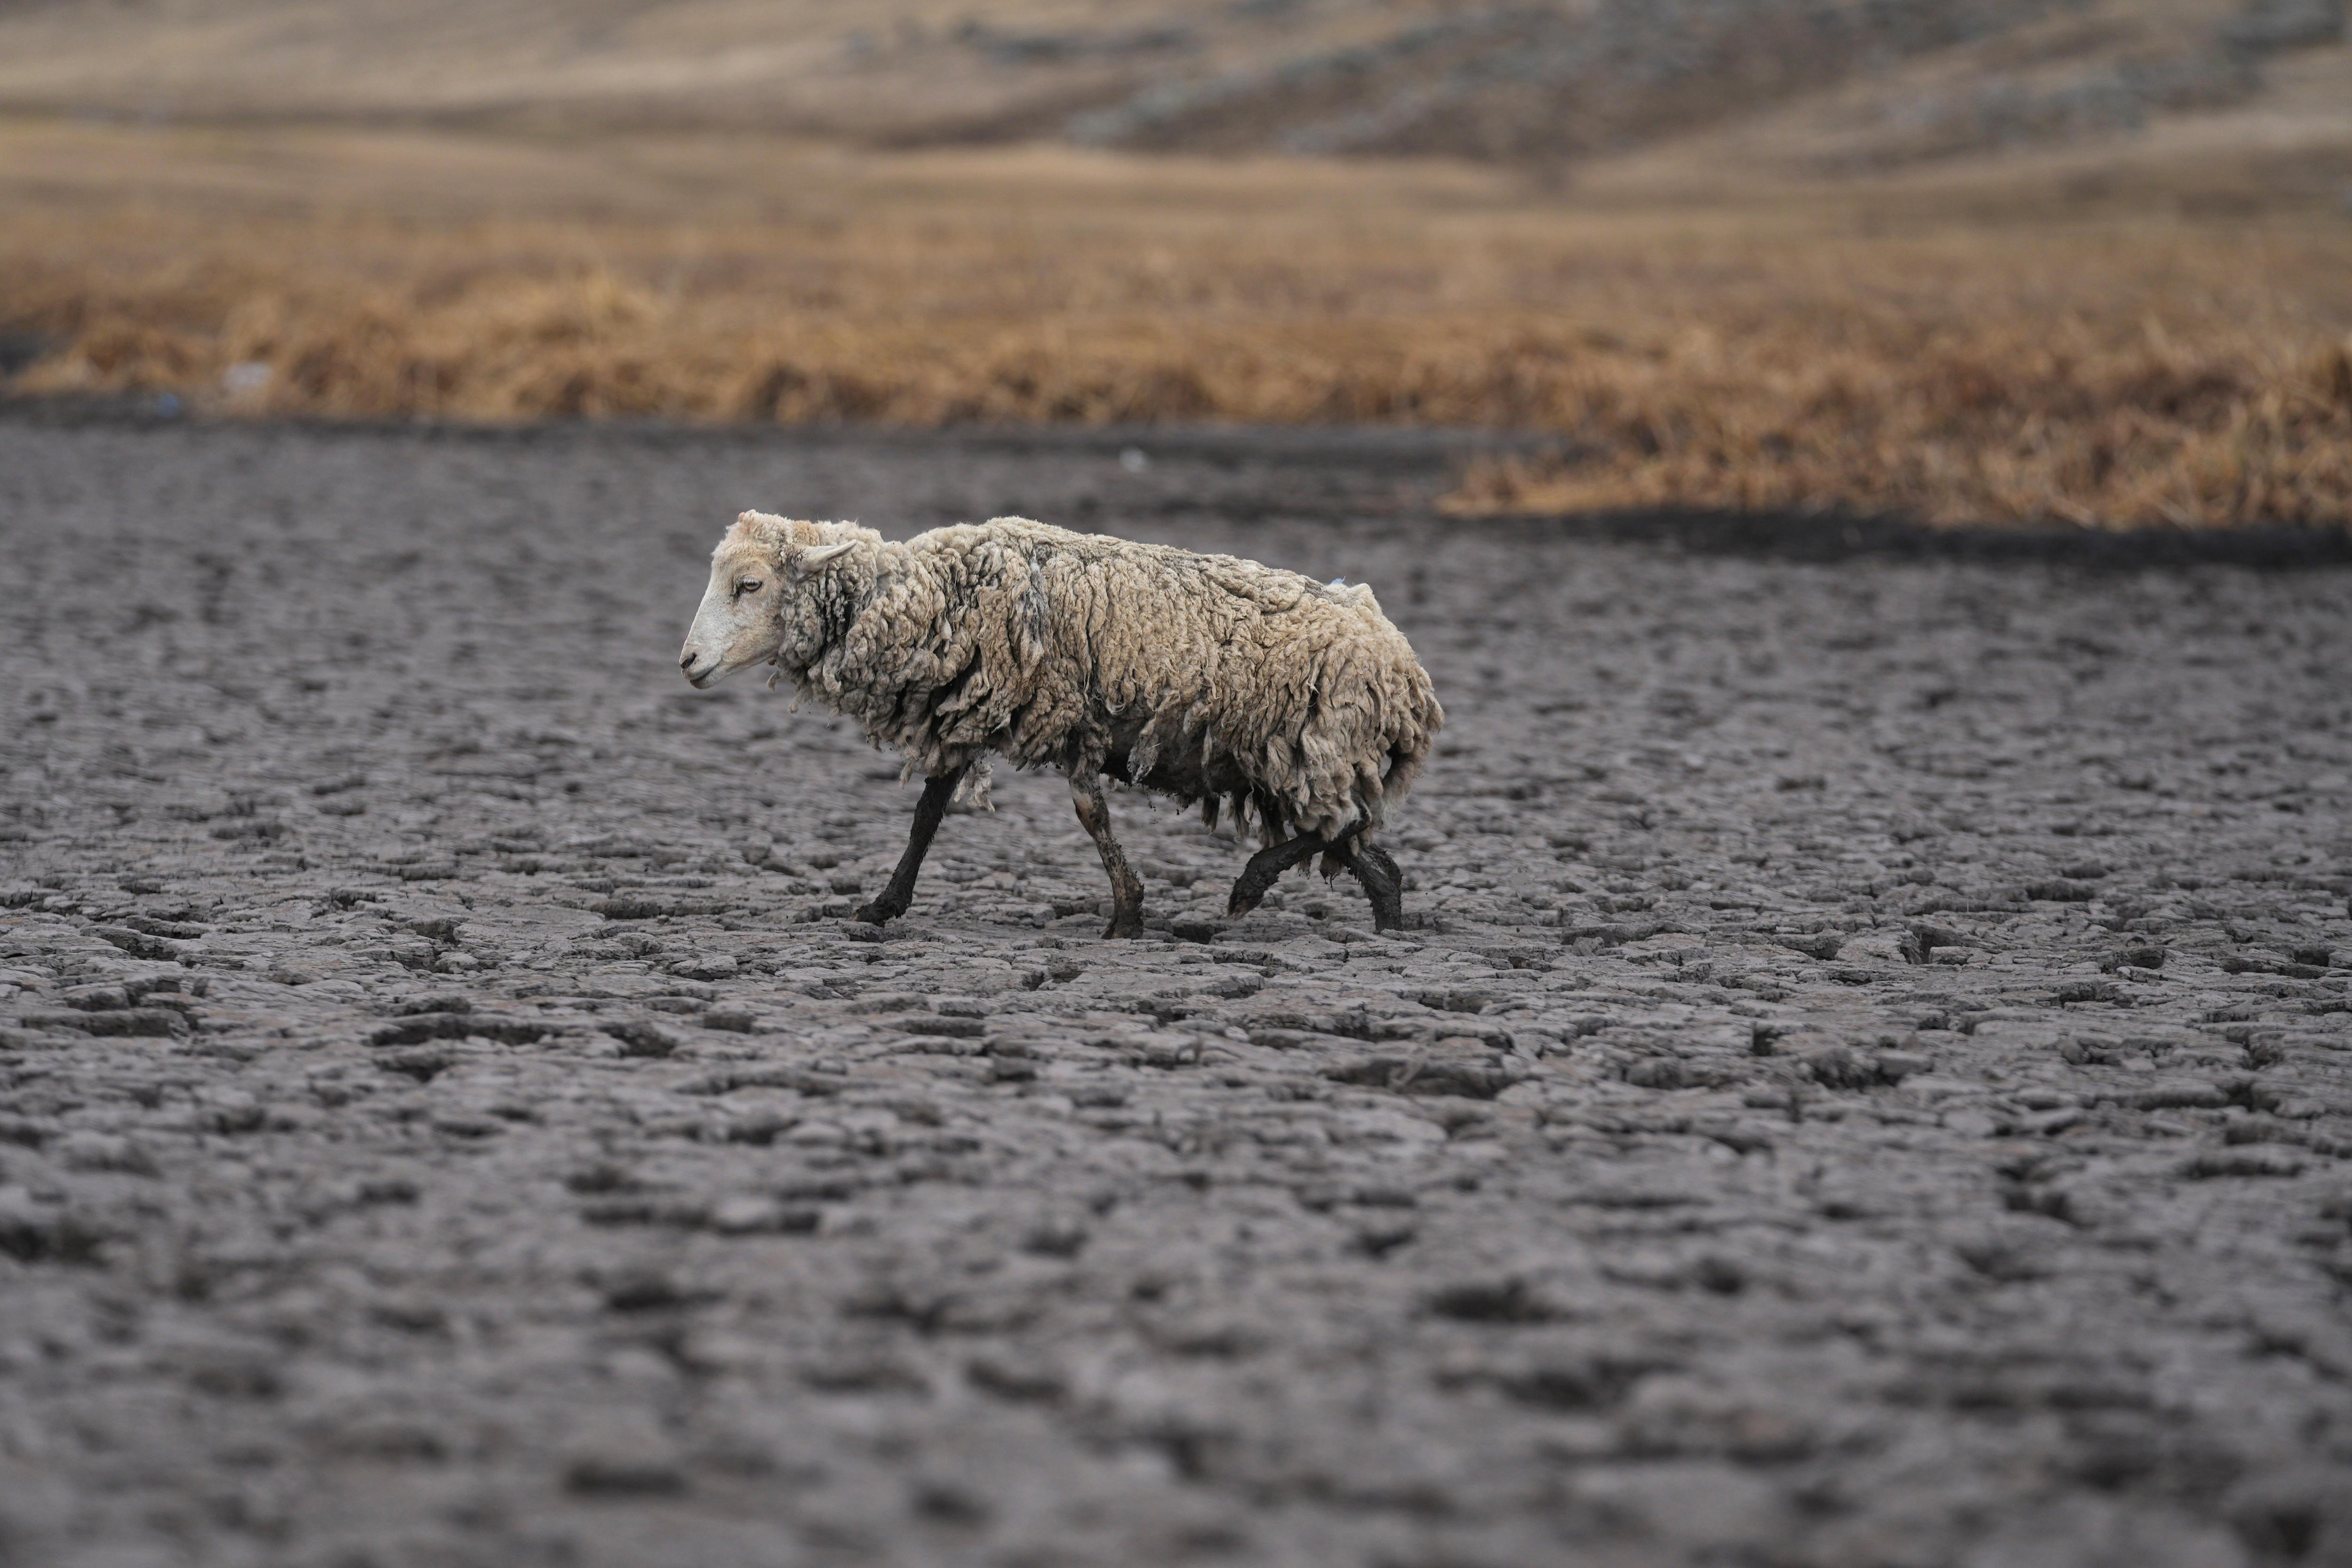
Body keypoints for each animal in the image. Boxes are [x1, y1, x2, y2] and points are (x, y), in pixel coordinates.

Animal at [678, 510, 1442, 937]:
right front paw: (882, 905)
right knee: (1359, 844)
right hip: (1301, 760)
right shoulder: (970, 711)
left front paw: (1127, 915)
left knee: (1336, 826)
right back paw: (1385, 920)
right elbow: (927, 815)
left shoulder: (1069, 717)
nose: (687, 662)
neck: (938, 596)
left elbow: (1089, 815)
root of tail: (1405, 665)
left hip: (1312, 748)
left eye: (749, 585)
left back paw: (1250, 886)